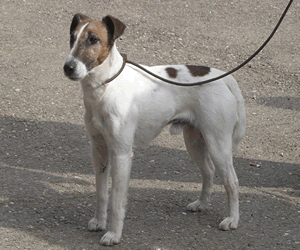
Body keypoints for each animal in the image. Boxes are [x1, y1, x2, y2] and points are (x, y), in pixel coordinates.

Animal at [63, 13, 246, 246]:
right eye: (72, 37)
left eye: (93, 39)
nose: (68, 67)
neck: (106, 86)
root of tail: (224, 77)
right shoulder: (99, 151)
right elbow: (102, 193)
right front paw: (99, 221)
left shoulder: (121, 154)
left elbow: (116, 200)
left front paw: (114, 234)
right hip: (195, 142)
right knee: (208, 171)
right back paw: (202, 204)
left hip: (218, 145)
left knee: (232, 182)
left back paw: (233, 219)